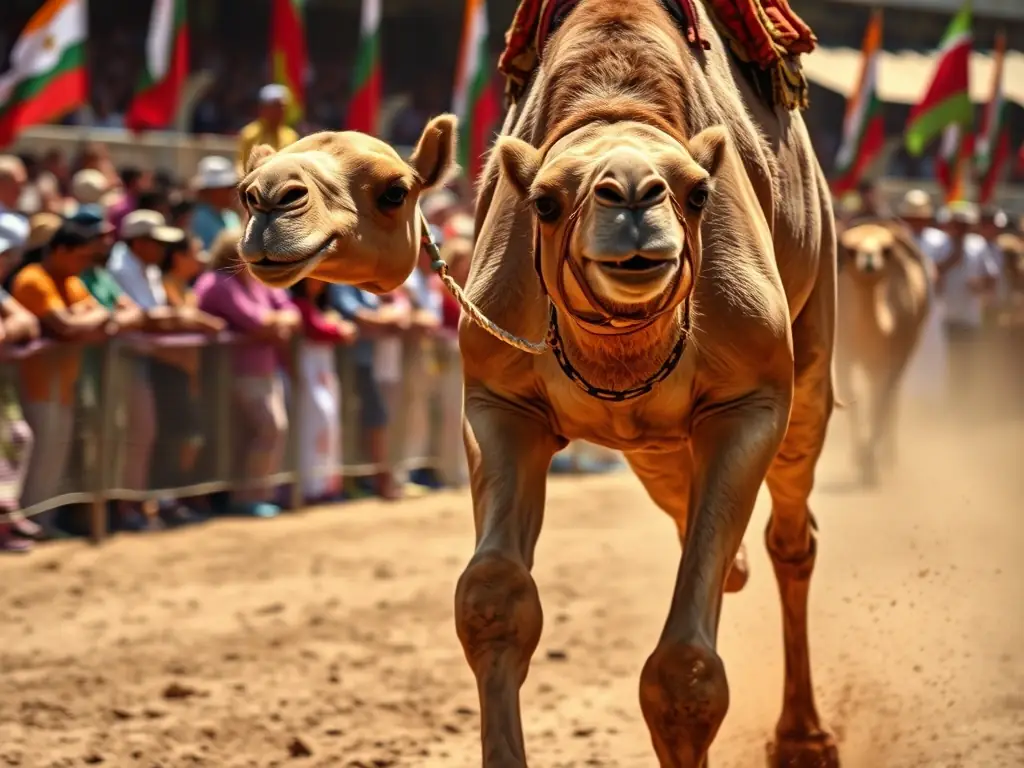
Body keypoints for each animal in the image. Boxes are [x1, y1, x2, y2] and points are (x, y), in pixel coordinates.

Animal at [835, 222, 932, 486]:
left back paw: (889, 457)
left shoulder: (896, 354)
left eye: (886, 249)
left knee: (890, 397)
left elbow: (880, 402)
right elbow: (852, 399)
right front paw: (860, 459)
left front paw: (869, 465)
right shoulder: (842, 355)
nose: (868, 260)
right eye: (850, 249)